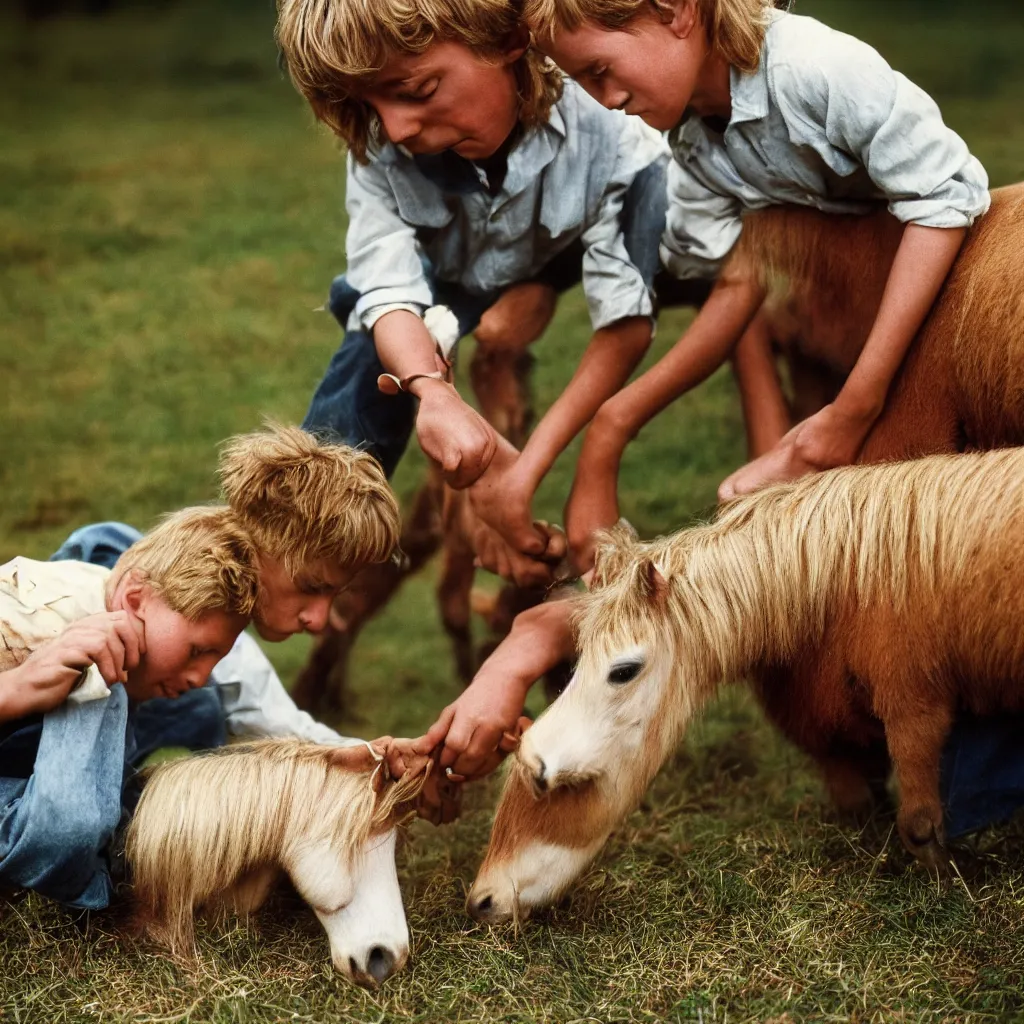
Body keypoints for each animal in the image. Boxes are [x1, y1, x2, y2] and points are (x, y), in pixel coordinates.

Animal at [468, 448, 1024, 921]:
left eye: (623, 671)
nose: (482, 901)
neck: (860, 570)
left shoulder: (915, 707)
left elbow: (920, 826)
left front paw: (952, 879)